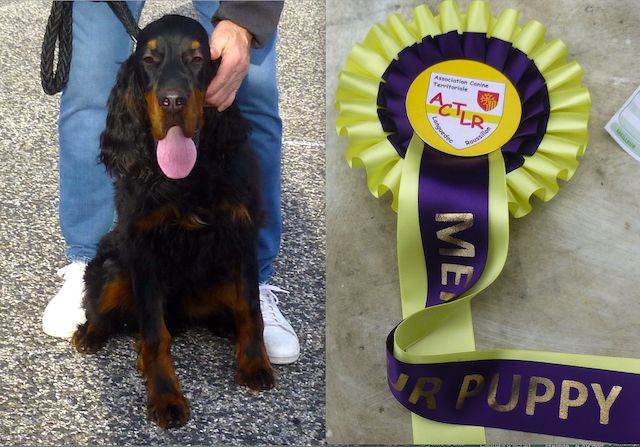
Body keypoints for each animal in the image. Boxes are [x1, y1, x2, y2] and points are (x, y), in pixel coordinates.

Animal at [71, 14, 274, 430]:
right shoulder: (144, 246)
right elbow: (154, 332)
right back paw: (92, 333)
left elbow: (250, 307)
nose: (173, 101)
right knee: (108, 309)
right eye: (149, 60)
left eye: (198, 60)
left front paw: (254, 364)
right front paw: (165, 395)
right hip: (114, 263)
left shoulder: (241, 233)